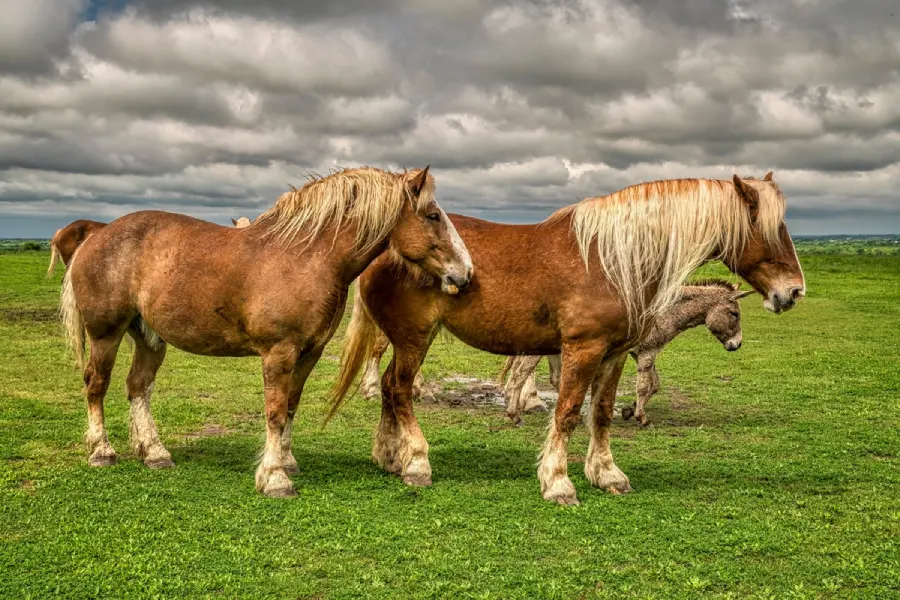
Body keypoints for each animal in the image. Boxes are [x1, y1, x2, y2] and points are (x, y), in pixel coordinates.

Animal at [58, 166, 472, 500]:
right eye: (433, 215)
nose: (466, 273)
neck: (307, 257)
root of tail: (96, 234)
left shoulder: (309, 353)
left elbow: (290, 407)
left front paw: (286, 462)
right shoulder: (279, 352)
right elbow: (274, 412)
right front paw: (274, 479)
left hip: (147, 337)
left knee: (138, 387)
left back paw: (154, 452)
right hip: (105, 334)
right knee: (96, 385)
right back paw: (102, 451)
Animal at [500, 280, 752, 426]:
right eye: (735, 314)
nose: (737, 345)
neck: (665, 309)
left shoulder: (644, 352)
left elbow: (654, 385)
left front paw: (630, 410)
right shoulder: (648, 352)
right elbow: (643, 385)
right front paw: (642, 418)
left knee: (551, 377)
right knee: (521, 373)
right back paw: (515, 414)